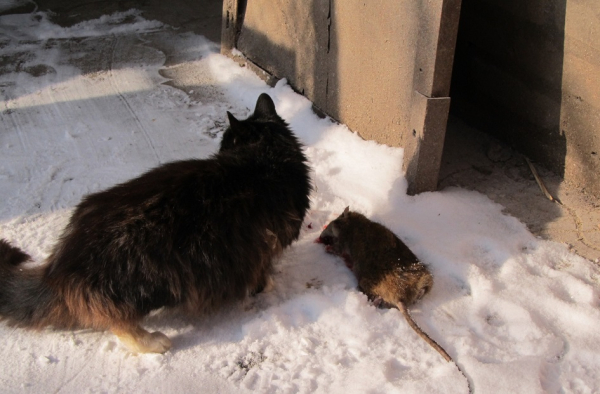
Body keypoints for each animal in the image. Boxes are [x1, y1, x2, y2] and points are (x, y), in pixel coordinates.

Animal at [0, 94, 310, 352]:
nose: (219, 150)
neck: (265, 156)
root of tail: (58, 267)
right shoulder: (261, 248)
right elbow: (261, 273)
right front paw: (264, 286)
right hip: (147, 283)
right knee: (117, 323)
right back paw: (153, 342)